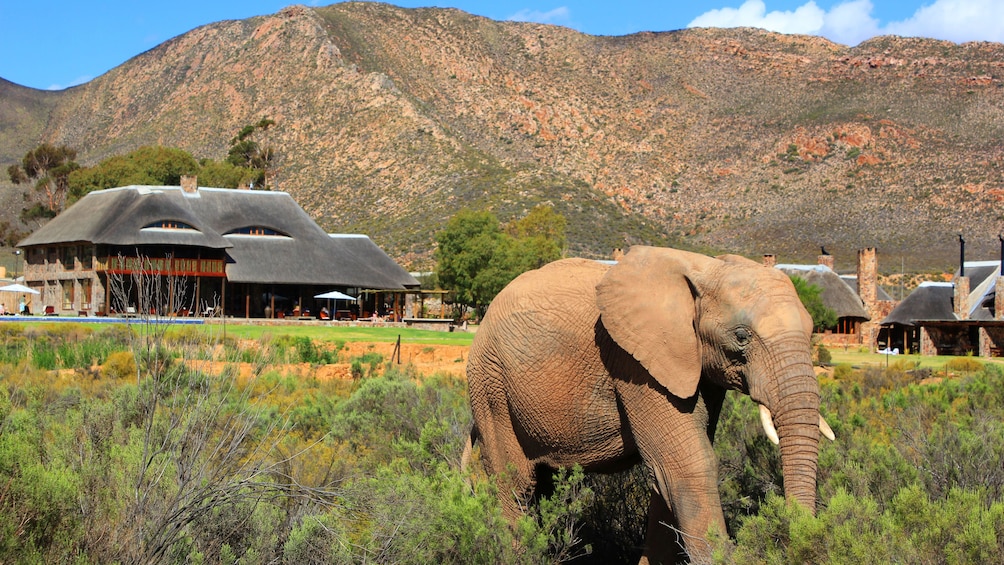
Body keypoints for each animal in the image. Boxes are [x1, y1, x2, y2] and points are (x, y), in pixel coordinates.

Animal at [465, 245, 835, 561]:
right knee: (516, 483)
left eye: (813, 331)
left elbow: (668, 474)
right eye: (742, 336)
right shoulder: (634, 363)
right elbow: (687, 463)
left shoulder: (697, 367)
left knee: (543, 483)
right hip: (489, 382)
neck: (704, 268)